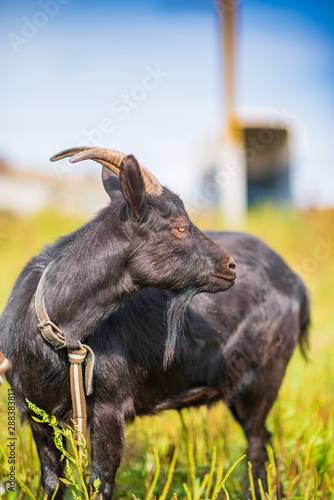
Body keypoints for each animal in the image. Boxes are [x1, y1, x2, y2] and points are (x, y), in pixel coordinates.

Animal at [0, 146, 236, 498]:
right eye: (180, 227)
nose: (230, 266)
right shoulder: (36, 414)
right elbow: (54, 482)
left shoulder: (109, 409)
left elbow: (101, 482)